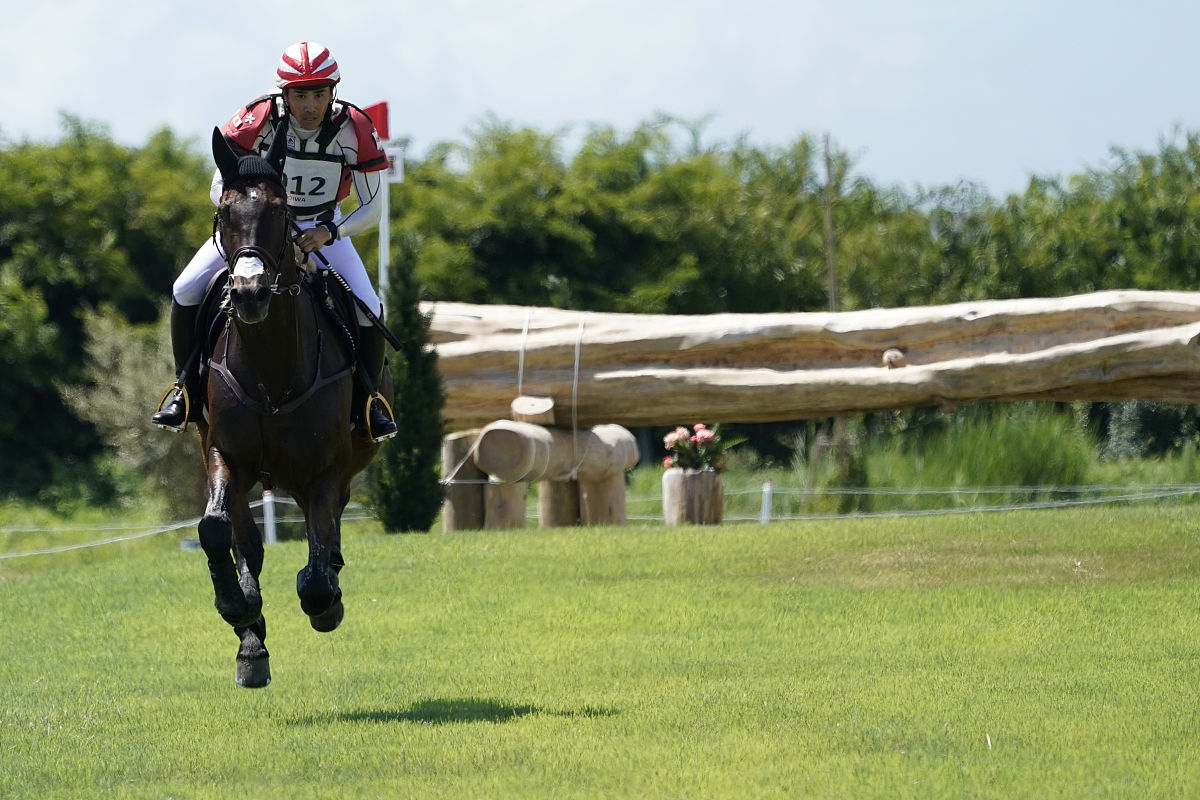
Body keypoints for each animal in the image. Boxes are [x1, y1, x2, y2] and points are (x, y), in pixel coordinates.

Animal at [194, 127, 388, 687]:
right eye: (225, 211)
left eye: (282, 212)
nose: (249, 294)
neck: (270, 369)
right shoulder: (225, 454)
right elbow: (215, 531)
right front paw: (237, 609)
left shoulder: (323, 469)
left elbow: (318, 574)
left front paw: (325, 600)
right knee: (247, 543)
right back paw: (251, 643)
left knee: (330, 526)